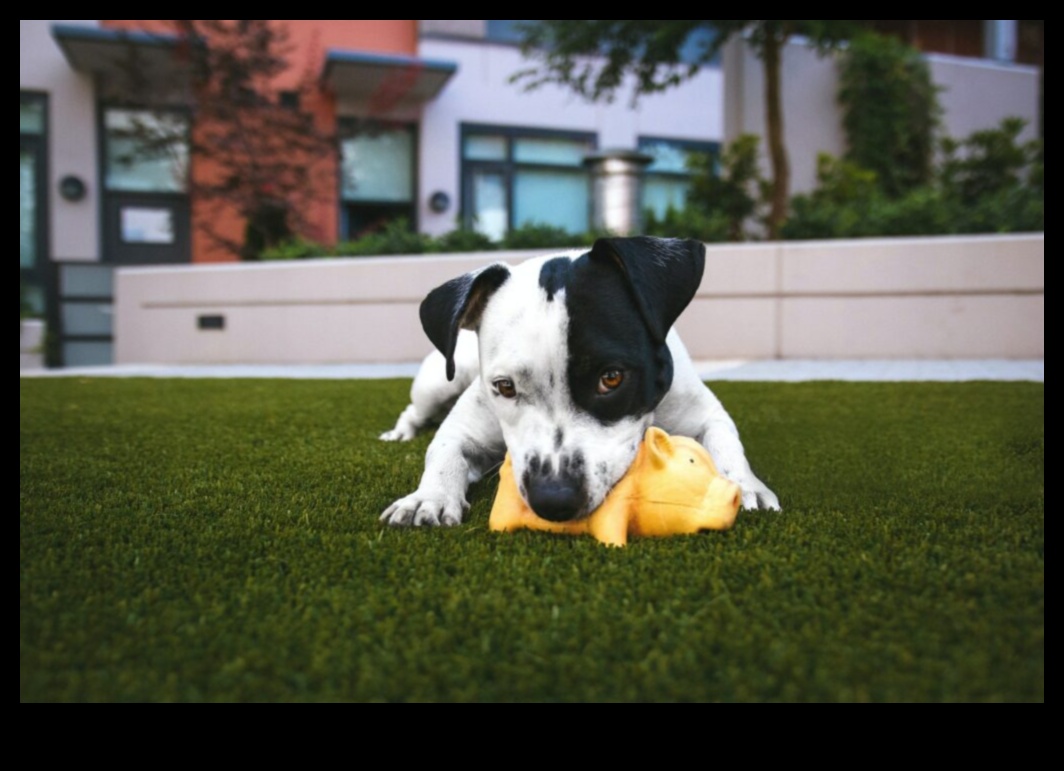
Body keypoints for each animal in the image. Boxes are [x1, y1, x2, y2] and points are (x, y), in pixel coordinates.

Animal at [378, 232, 778, 523]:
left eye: (611, 378)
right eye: (505, 387)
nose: (553, 500)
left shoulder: (705, 413)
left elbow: (726, 443)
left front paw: (745, 485)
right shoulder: (465, 427)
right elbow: (444, 452)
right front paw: (427, 497)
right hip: (437, 381)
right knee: (414, 411)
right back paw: (399, 433)